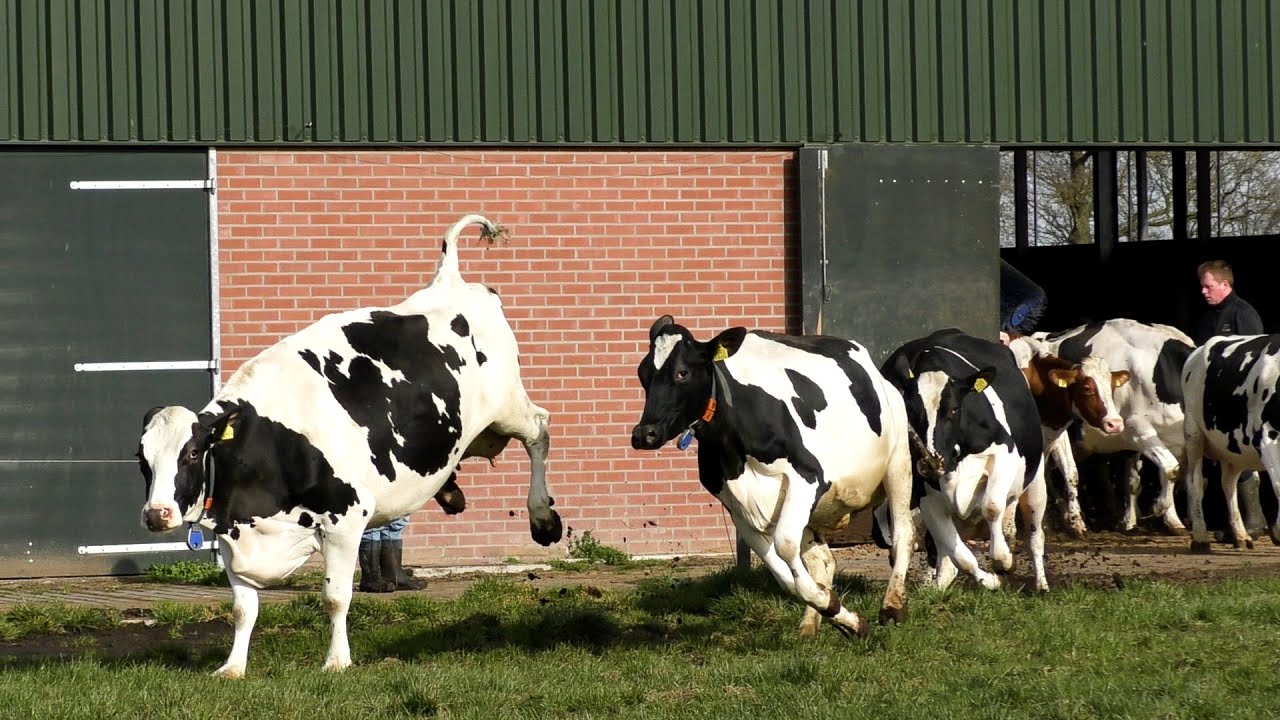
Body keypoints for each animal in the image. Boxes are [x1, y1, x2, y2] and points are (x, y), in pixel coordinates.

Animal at [136, 214, 563, 679]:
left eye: (193, 453)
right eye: (142, 461)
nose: (157, 514)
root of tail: (448, 281)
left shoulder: (346, 517)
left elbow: (335, 597)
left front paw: (337, 661)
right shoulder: (236, 536)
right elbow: (243, 609)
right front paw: (233, 667)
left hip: (507, 406)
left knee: (539, 431)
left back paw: (543, 517)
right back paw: (452, 490)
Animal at [629, 316, 915, 638]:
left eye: (682, 372)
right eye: (642, 374)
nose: (644, 434)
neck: (734, 450)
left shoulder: (807, 477)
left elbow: (785, 545)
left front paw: (837, 609)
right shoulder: (736, 505)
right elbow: (785, 576)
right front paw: (839, 613)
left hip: (898, 463)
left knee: (903, 532)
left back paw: (892, 605)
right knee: (823, 561)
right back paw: (810, 624)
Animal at [880, 328, 1049, 592]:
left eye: (953, 409)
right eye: (911, 411)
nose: (932, 461)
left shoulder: (1005, 454)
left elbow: (992, 507)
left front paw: (1004, 560)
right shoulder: (924, 495)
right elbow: (960, 556)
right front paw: (990, 580)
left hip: (1036, 480)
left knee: (1034, 534)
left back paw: (1041, 583)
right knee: (946, 554)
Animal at [1007, 336, 1130, 536]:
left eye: (1112, 387)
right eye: (1087, 388)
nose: (1115, 423)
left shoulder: (1057, 432)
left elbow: (1071, 472)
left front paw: (1076, 521)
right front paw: (1009, 528)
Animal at [1181, 334, 1280, 551]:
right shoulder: (1267, 437)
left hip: (1232, 451)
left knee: (1229, 484)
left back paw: (1241, 535)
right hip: (1193, 433)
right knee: (1195, 481)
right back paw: (1200, 538)